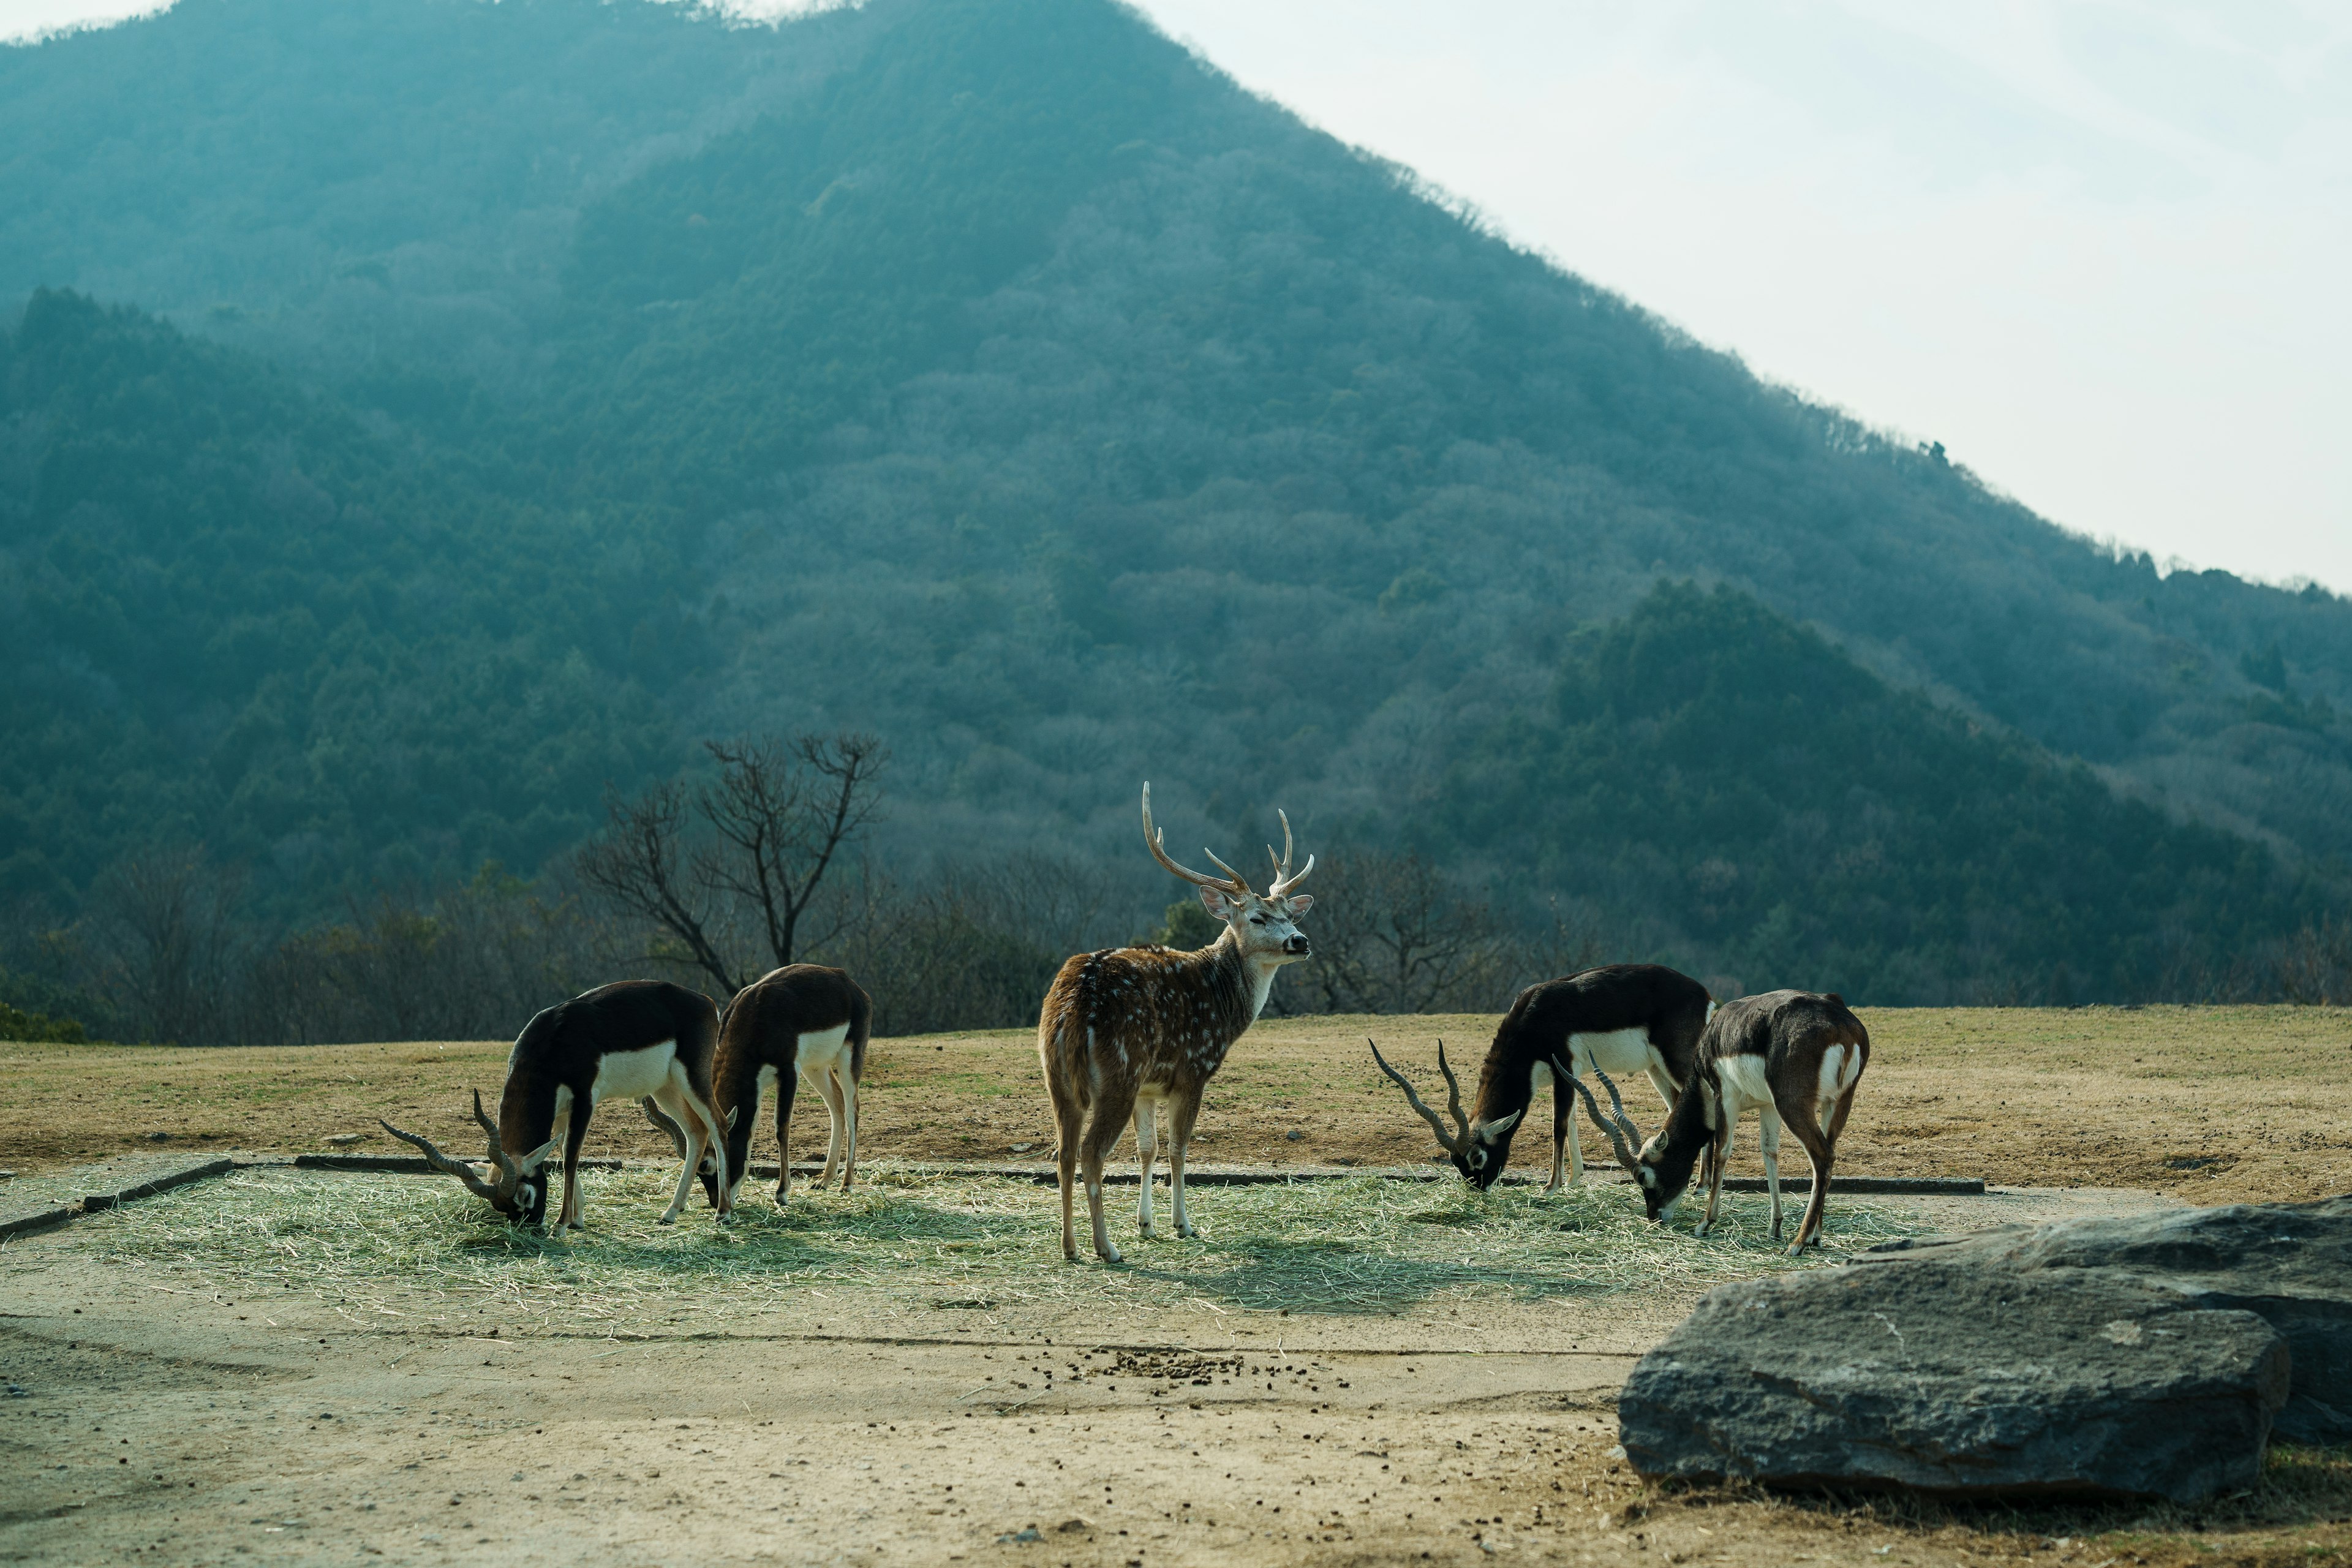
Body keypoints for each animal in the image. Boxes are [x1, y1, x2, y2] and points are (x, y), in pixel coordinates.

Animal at [379, 982, 724, 1222]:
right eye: (499, 1207)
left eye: (525, 1196)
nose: (533, 1228)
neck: (553, 1042)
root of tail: (706, 1002)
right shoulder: (558, 1110)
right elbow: (557, 1150)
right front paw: (578, 1220)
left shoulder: (585, 1100)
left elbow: (571, 1156)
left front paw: (562, 1224)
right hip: (665, 1088)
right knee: (697, 1132)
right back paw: (671, 1212)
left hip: (692, 1079)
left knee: (718, 1125)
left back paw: (724, 1213)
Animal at [701, 963, 880, 1222]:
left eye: (707, 1163)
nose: (717, 1203)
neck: (757, 1014)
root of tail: (849, 983)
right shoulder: (757, 1088)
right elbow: (752, 1128)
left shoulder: (788, 1071)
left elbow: (781, 1128)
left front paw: (782, 1193)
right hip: (815, 1067)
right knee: (837, 1104)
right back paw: (824, 1180)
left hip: (849, 1057)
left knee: (852, 1108)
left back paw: (846, 1184)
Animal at [1039, 780, 1317, 1260]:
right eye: (1258, 917)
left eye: (1289, 915)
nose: (1299, 941)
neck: (1223, 1002)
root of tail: (1074, 1006)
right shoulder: (1192, 1071)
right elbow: (1179, 1148)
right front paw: (1183, 1225)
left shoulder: (1150, 1087)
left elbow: (1147, 1150)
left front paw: (1146, 1225)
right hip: (1119, 1073)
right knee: (1092, 1153)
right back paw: (1106, 1248)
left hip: (1057, 1077)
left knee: (1064, 1153)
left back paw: (1070, 1247)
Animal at [1364, 963, 1712, 1194]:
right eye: (1454, 1160)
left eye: (1477, 1156)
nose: (1480, 1189)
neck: (1535, 1017)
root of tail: (1704, 993)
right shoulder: (1570, 1077)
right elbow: (1572, 1121)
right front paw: (1572, 1180)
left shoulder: (1564, 1069)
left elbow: (1559, 1125)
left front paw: (1551, 1186)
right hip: (1656, 1069)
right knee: (1677, 1106)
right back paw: (1697, 1181)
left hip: (1676, 1061)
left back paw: (1701, 1185)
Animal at [1561, 987, 1872, 1260]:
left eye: (1642, 1176)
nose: (1655, 1217)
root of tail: (1840, 1023)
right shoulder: (1767, 1105)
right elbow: (1769, 1153)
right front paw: (1775, 1227)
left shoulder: (1726, 1096)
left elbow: (1722, 1151)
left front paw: (1705, 1223)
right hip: (1836, 1102)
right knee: (1828, 1154)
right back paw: (1816, 1236)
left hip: (1793, 1105)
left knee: (1822, 1156)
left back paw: (1799, 1243)